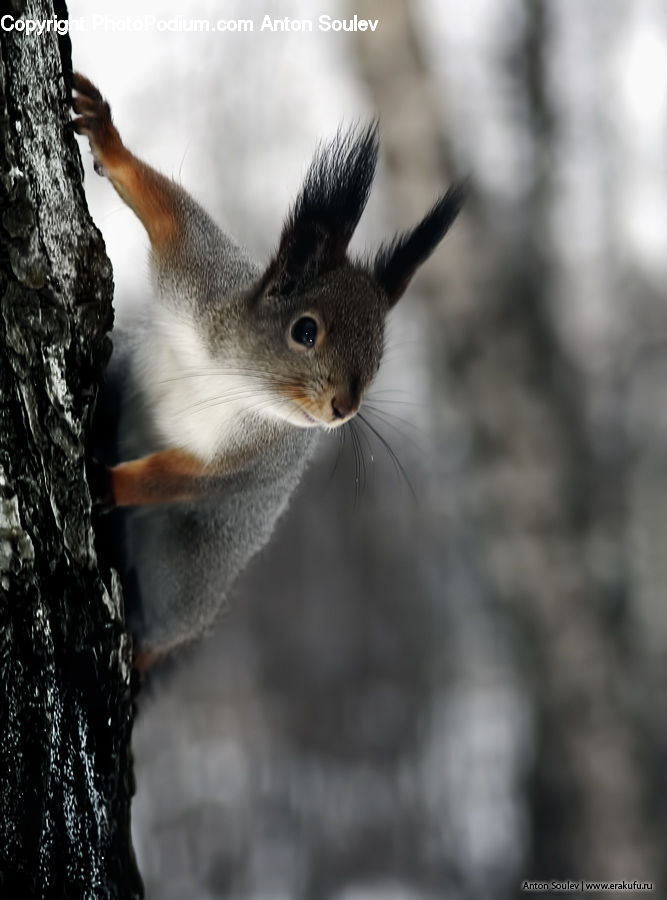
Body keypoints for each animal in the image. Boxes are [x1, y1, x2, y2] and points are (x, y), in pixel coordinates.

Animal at [71, 73, 465, 671]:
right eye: (305, 331)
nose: (343, 408)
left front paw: (111, 483)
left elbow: (181, 477)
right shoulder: (202, 277)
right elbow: (168, 210)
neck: (231, 376)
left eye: (378, 358)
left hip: (181, 581)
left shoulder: (255, 457)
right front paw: (105, 134)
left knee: (155, 637)